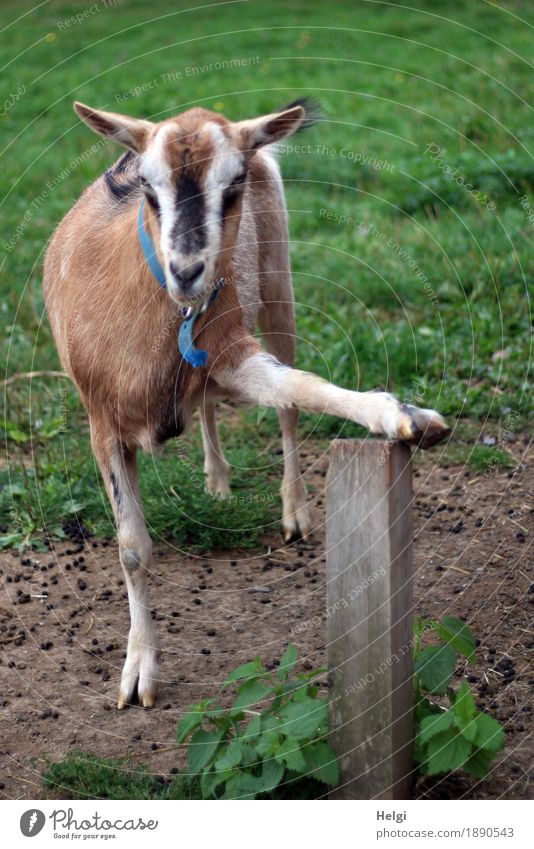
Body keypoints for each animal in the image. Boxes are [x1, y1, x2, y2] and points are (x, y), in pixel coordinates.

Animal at [44, 99, 450, 708]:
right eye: (148, 186)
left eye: (232, 184)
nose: (187, 271)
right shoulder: (101, 419)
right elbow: (132, 548)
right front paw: (138, 676)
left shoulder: (238, 350)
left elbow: (301, 388)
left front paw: (408, 419)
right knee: (209, 404)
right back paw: (215, 480)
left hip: (278, 282)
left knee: (282, 407)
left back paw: (295, 511)